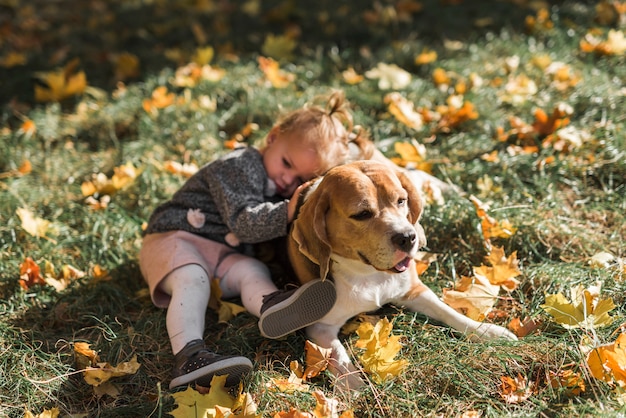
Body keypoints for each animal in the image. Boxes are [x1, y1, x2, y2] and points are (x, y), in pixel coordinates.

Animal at [286, 162, 516, 390]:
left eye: (401, 201)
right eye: (362, 214)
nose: (407, 237)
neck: (370, 275)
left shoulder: (413, 291)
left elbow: (447, 311)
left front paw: (487, 331)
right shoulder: (320, 326)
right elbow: (337, 354)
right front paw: (352, 383)